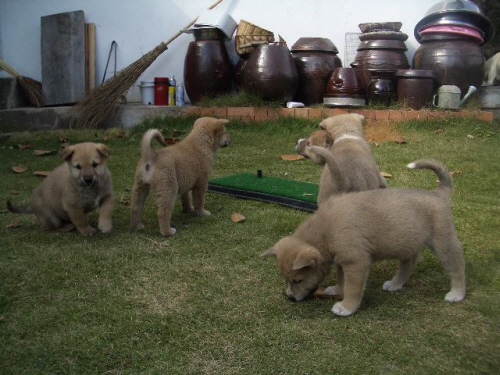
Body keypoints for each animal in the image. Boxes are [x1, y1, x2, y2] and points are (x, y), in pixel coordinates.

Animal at [262, 159, 464, 318]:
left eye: (298, 280)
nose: (290, 298)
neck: (326, 229)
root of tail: (438, 194)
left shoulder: (356, 262)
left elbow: (352, 288)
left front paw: (346, 307)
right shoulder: (343, 261)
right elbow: (342, 280)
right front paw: (338, 290)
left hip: (443, 242)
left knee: (457, 267)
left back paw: (457, 293)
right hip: (407, 243)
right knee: (408, 264)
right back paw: (395, 284)